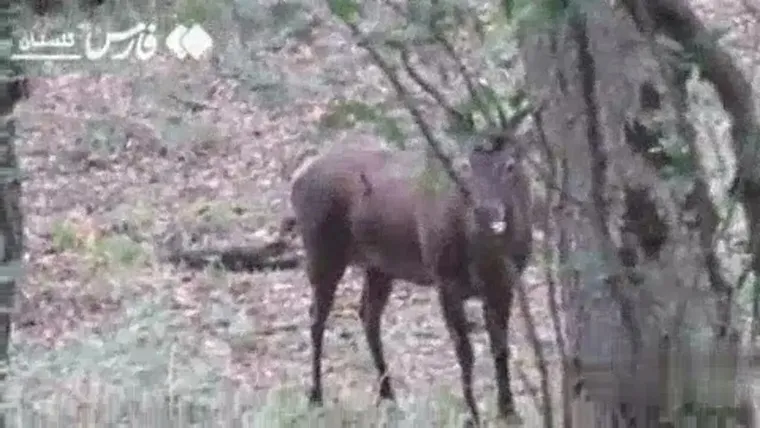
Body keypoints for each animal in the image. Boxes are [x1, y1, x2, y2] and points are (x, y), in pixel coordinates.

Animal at [286, 126, 536, 424]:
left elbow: (501, 347)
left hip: (379, 266)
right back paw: (315, 396)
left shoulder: (505, 284)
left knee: (367, 314)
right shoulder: (445, 279)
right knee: (316, 317)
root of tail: (298, 177)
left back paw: (388, 396)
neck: (487, 258)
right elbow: (465, 352)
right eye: (465, 167)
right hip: (321, 247)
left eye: (510, 165)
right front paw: (473, 415)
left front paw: (509, 411)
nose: (487, 211)